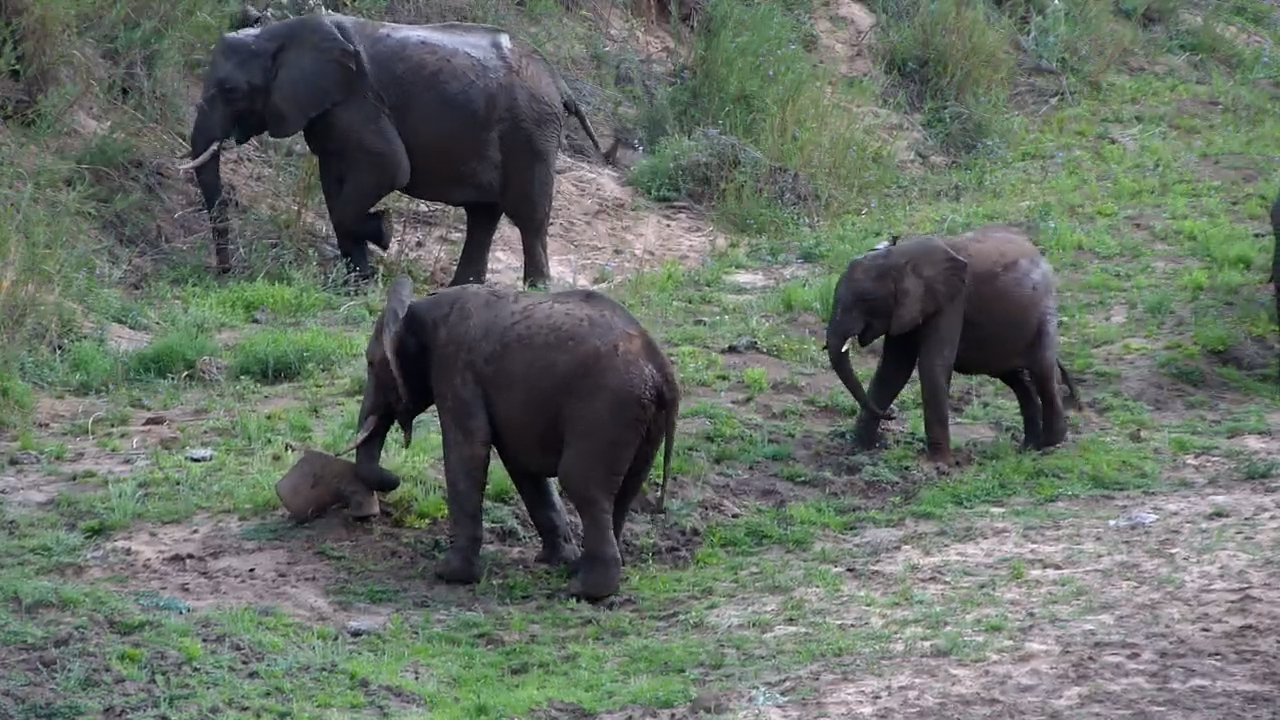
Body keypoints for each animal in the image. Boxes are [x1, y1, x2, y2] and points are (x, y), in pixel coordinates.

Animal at [179, 12, 605, 288]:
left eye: (231, 90)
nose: (226, 275)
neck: (276, 34)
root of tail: (559, 82)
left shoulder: (357, 101)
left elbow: (389, 168)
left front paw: (382, 233)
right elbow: (334, 187)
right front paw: (357, 284)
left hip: (530, 129)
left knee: (528, 215)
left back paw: (536, 289)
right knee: (482, 215)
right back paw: (461, 288)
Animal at [340, 276, 680, 601]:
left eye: (371, 363)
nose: (394, 478)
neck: (419, 307)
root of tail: (660, 367)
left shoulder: (457, 367)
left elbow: (468, 451)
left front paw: (449, 574)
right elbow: (521, 466)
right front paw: (554, 560)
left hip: (606, 409)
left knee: (582, 485)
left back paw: (586, 592)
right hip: (642, 419)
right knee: (624, 490)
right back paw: (582, 571)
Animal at [825, 223, 1073, 467]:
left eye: (867, 299)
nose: (891, 415)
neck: (901, 256)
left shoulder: (952, 301)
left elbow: (932, 365)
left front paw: (940, 465)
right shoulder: (907, 308)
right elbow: (893, 369)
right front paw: (860, 449)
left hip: (1044, 313)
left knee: (1043, 372)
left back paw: (1049, 443)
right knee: (1017, 379)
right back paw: (1028, 448)